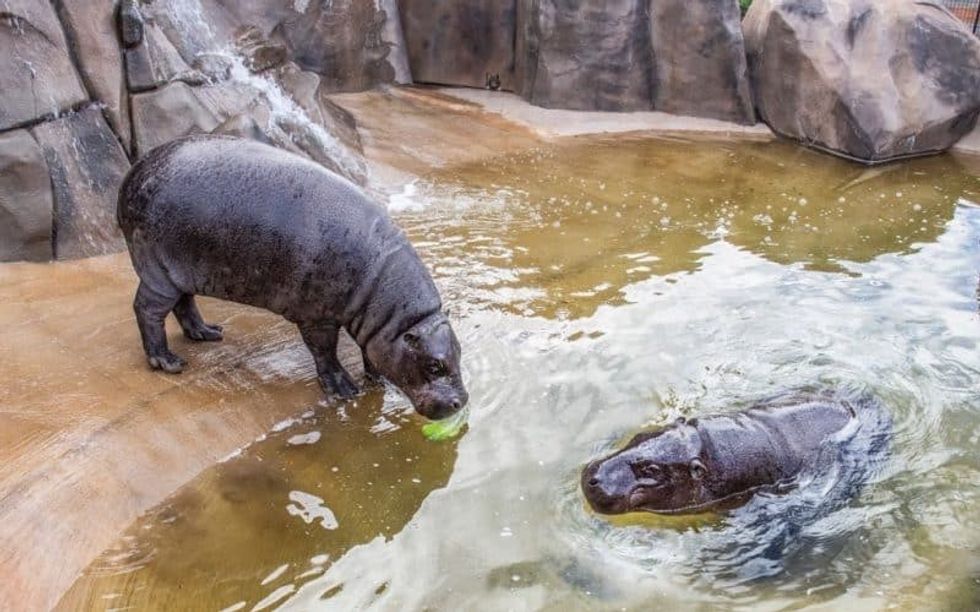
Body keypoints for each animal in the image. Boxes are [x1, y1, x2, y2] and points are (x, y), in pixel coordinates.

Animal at [117, 135, 468, 420]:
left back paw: (207, 333)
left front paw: (377, 380)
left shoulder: (376, 328)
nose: (461, 402)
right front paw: (345, 390)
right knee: (147, 310)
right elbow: (324, 350)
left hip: (181, 270)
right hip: (157, 270)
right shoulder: (317, 316)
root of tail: (134, 171)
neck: (395, 314)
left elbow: (371, 351)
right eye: (434, 365)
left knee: (184, 302)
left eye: (459, 352)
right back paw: (168, 362)